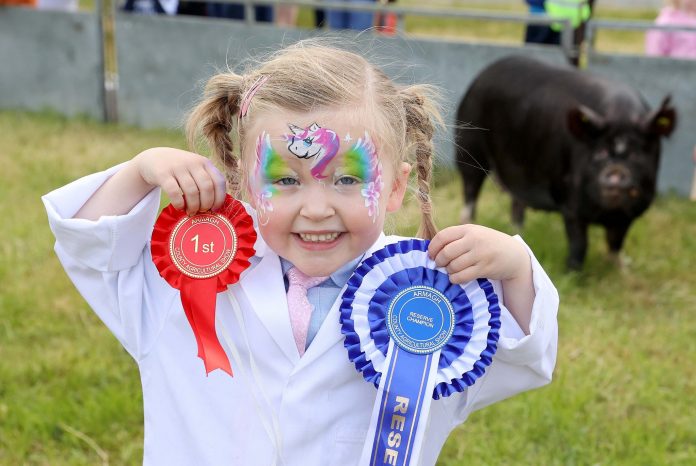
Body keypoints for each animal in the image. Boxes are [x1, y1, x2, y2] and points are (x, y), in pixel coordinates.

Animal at [454, 55, 676, 270]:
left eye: (637, 154)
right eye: (600, 152)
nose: (616, 172)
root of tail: (481, 76)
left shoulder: (631, 211)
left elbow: (616, 243)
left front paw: (623, 270)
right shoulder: (570, 203)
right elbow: (579, 245)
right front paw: (572, 273)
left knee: (517, 203)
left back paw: (516, 233)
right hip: (469, 149)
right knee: (470, 191)